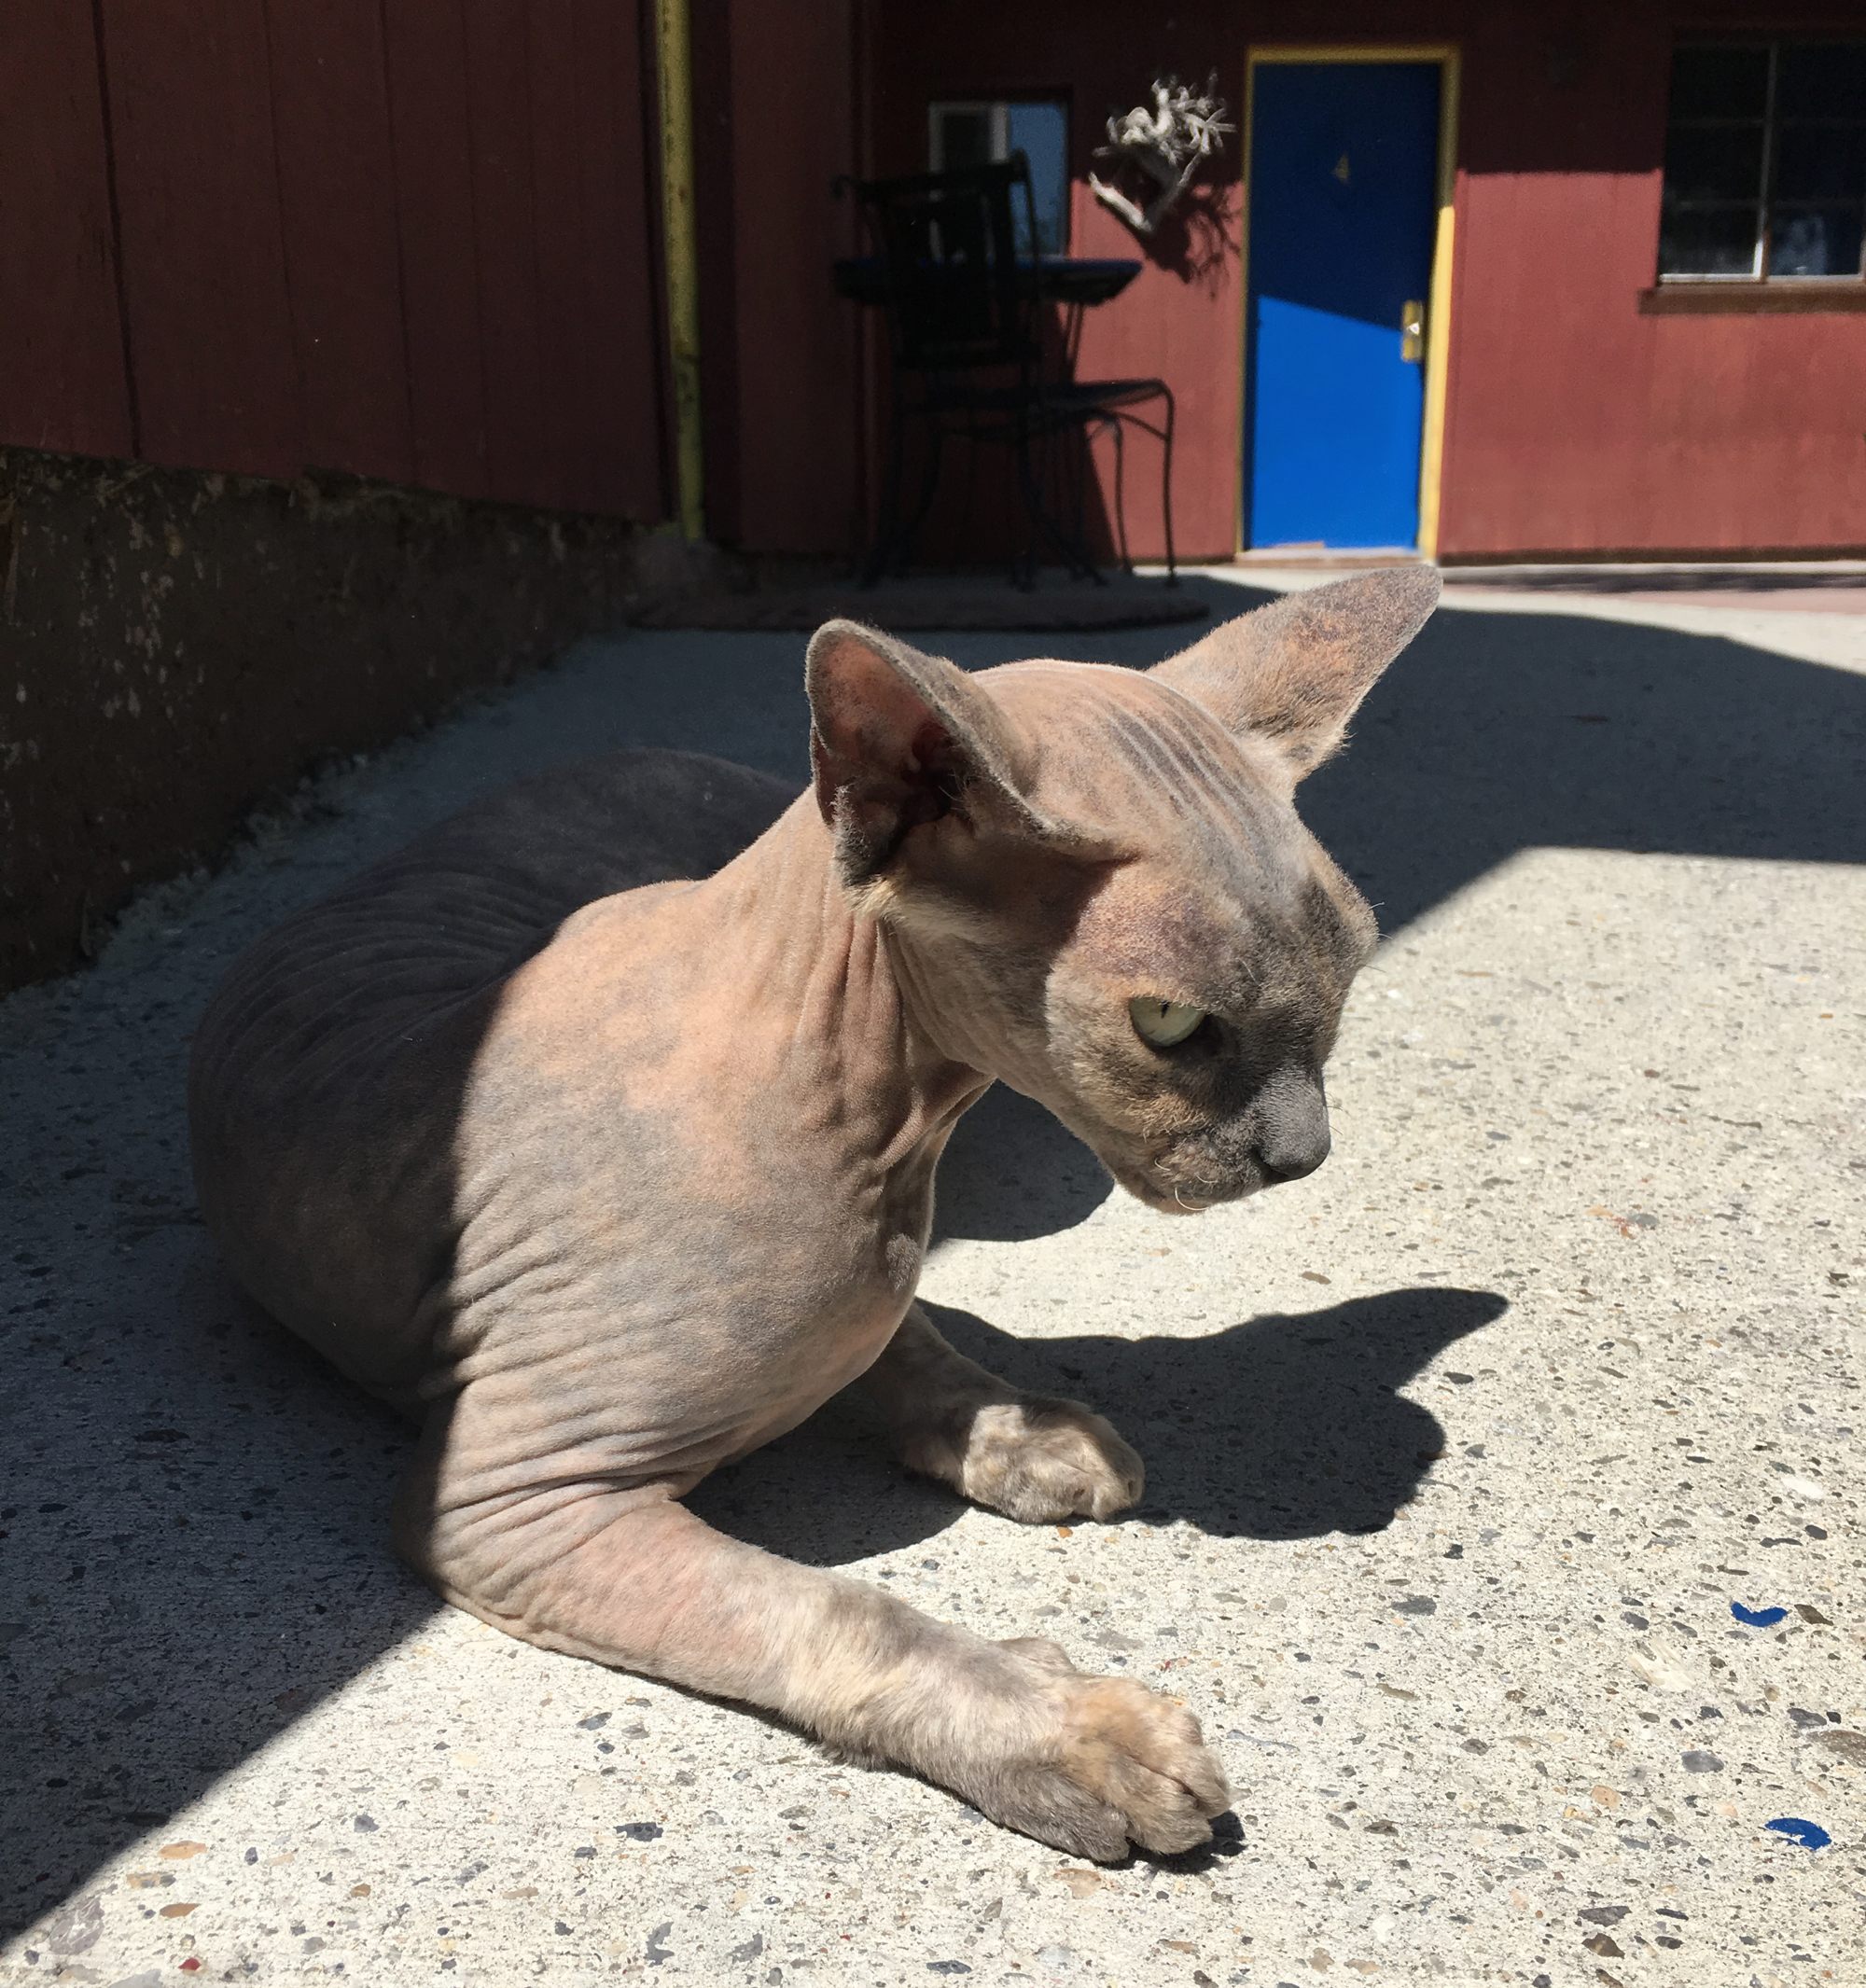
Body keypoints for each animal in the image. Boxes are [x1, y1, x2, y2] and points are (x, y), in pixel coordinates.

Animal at [189, 564, 1439, 1860]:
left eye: (1350, 972)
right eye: (1169, 1024)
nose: (1303, 1153)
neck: (888, 1124)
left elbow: (909, 1338)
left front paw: (1018, 1430)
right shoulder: (509, 1497)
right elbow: (844, 1607)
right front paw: (1060, 1730)